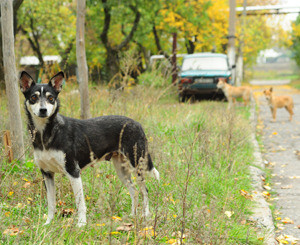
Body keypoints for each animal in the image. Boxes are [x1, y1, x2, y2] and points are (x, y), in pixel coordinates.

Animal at [18, 71, 159, 228]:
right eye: (33, 97)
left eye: (51, 98)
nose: (43, 110)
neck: (46, 133)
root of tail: (136, 123)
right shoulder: (47, 174)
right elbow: (51, 204)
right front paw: (49, 223)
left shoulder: (73, 172)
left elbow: (80, 203)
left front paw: (81, 224)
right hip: (121, 170)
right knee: (134, 191)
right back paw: (132, 216)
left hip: (138, 165)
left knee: (144, 190)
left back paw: (146, 215)